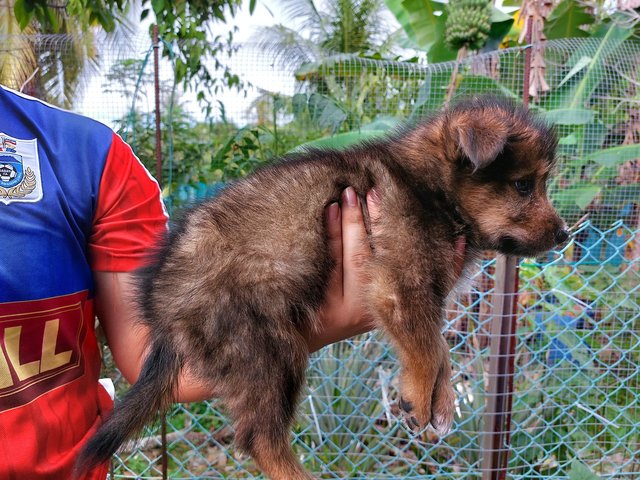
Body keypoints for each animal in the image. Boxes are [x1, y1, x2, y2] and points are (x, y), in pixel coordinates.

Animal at [79, 95, 564, 478]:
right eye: (524, 186)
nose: (564, 235)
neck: (430, 187)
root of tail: (163, 312)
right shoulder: (400, 284)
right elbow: (429, 348)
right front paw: (422, 396)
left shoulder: (423, 293)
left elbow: (439, 349)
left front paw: (439, 403)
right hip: (265, 347)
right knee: (258, 436)